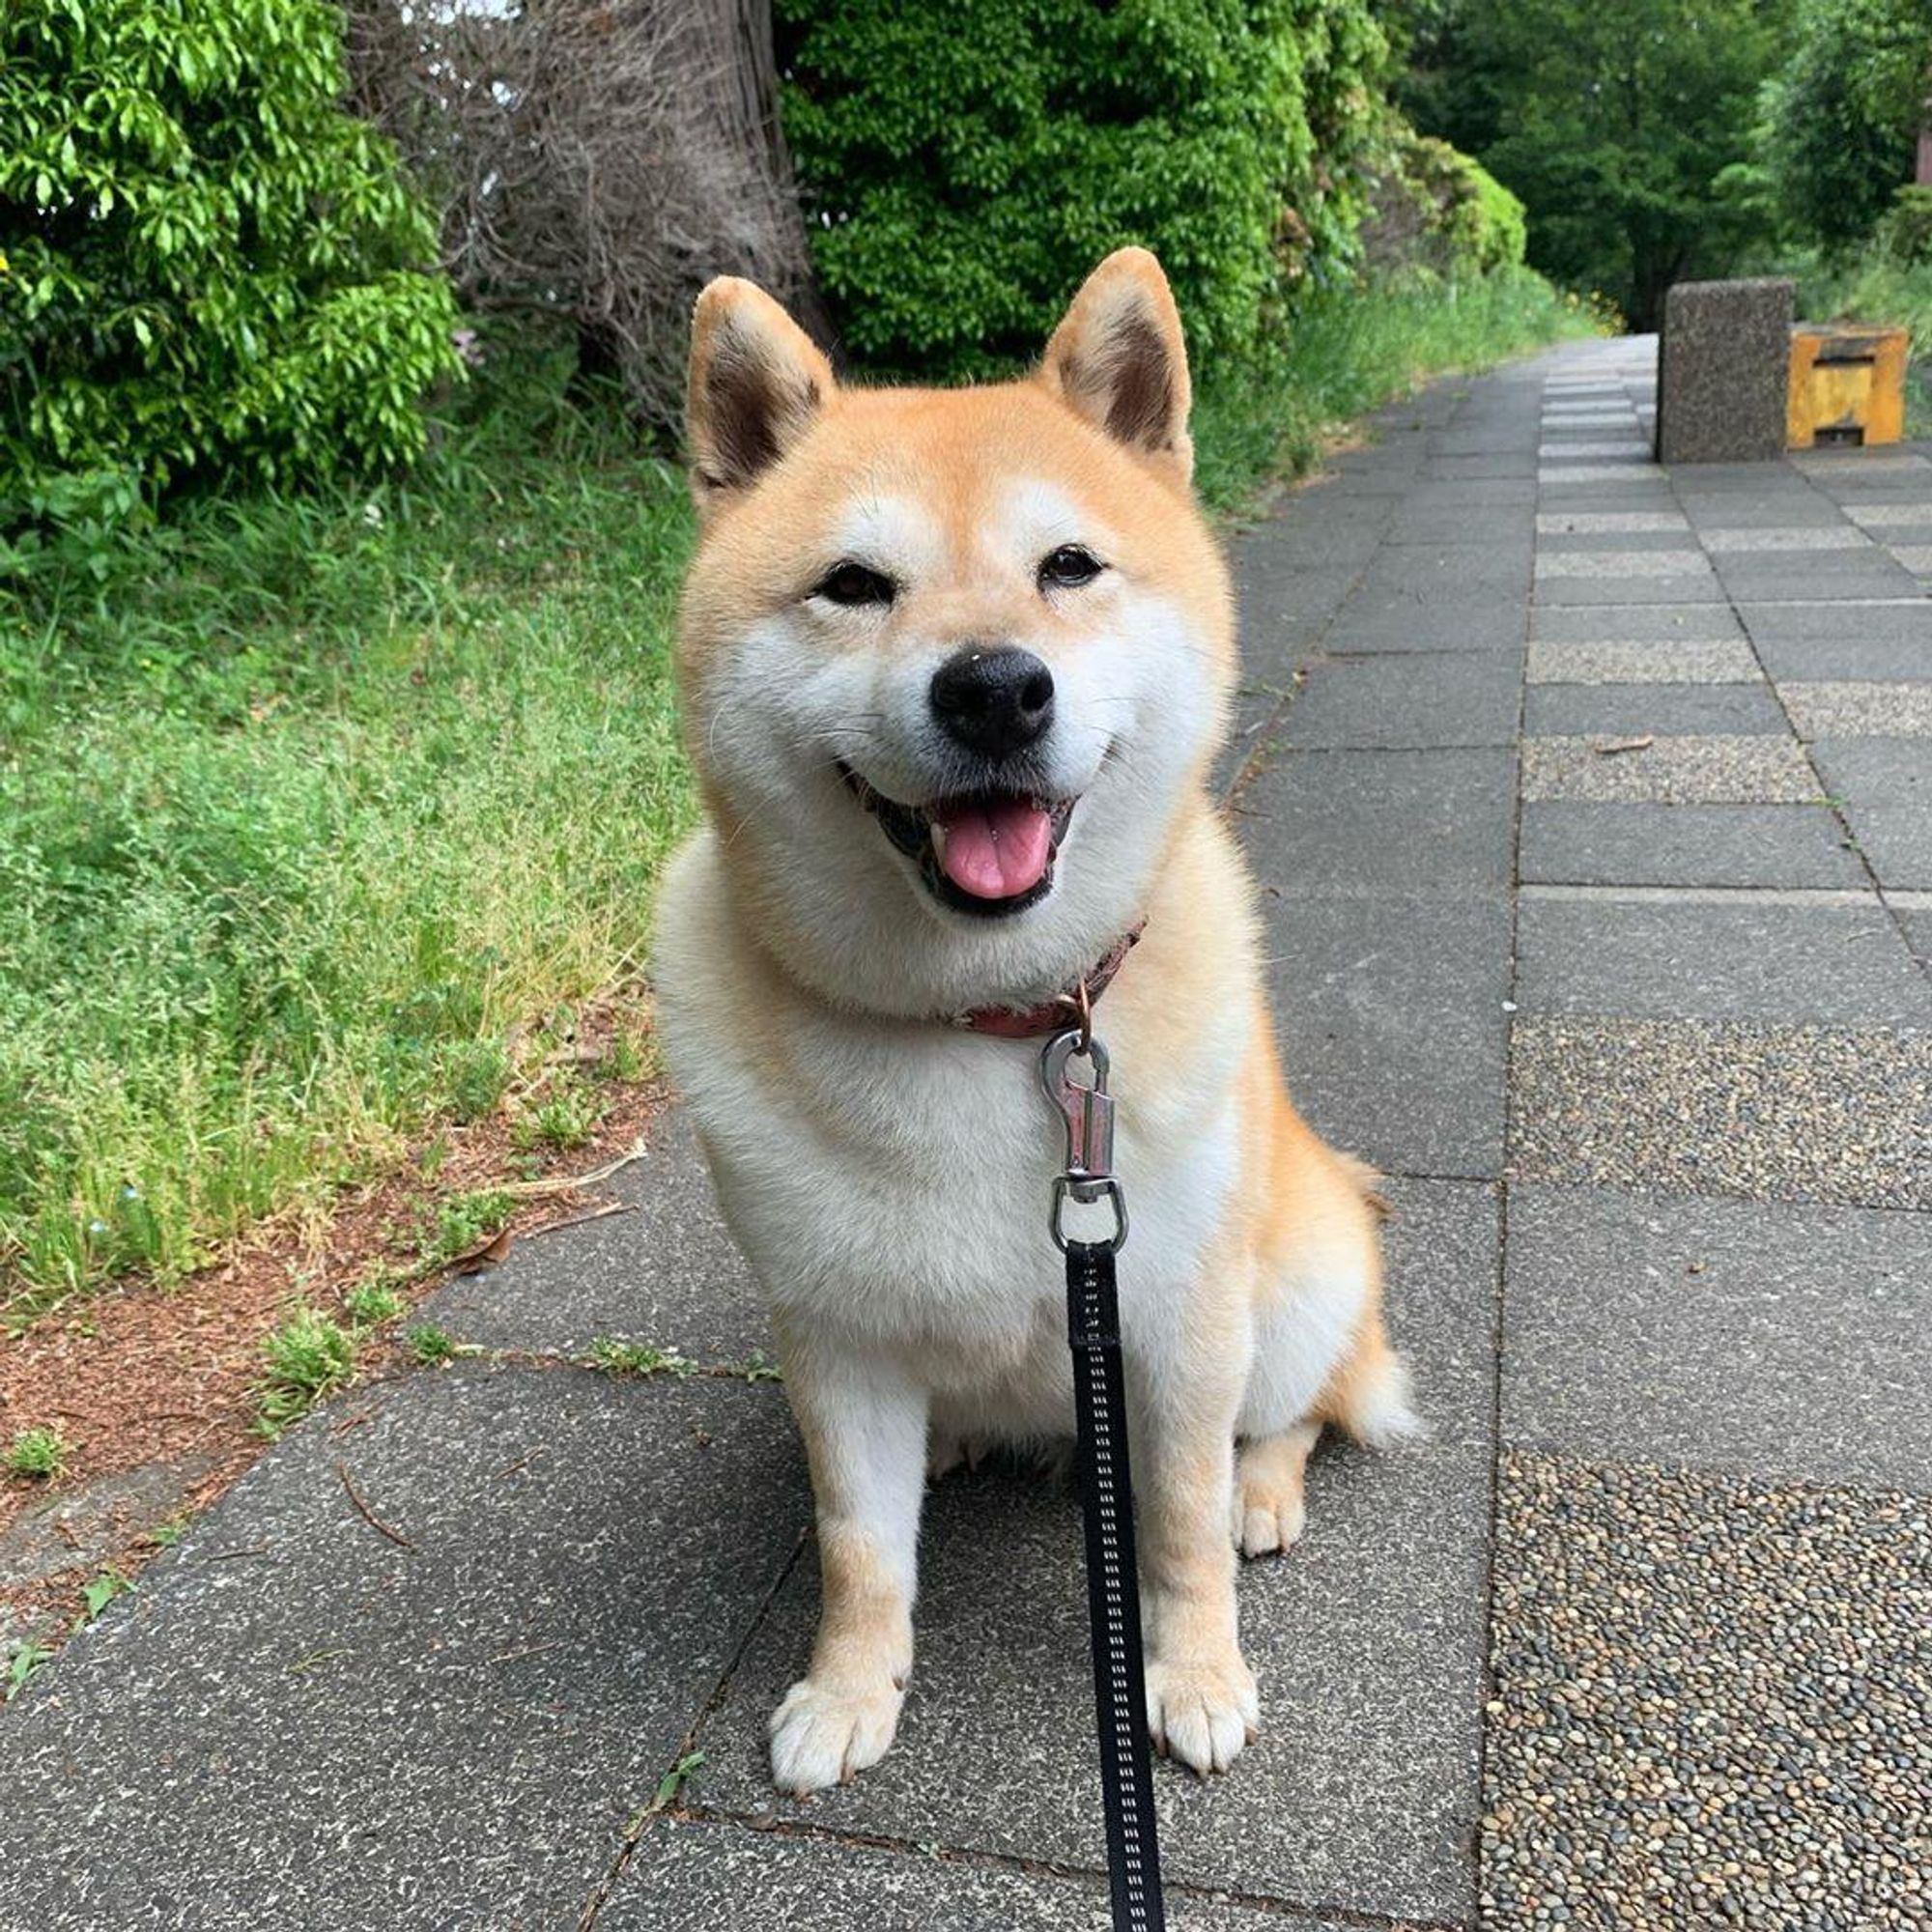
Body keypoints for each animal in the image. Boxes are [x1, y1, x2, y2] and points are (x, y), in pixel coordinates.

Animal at [653, 253, 1422, 1793]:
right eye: (853, 586)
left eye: (1068, 566)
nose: (996, 688)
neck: (988, 1018)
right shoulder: (829, 1341)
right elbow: (858, 1548)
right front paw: (850, 1689)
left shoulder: (1177, 1320)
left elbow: (1174, 1528)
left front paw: (1193, 1674)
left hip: (1297, 1287)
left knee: (1303, 1412)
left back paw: (1263, 1490)